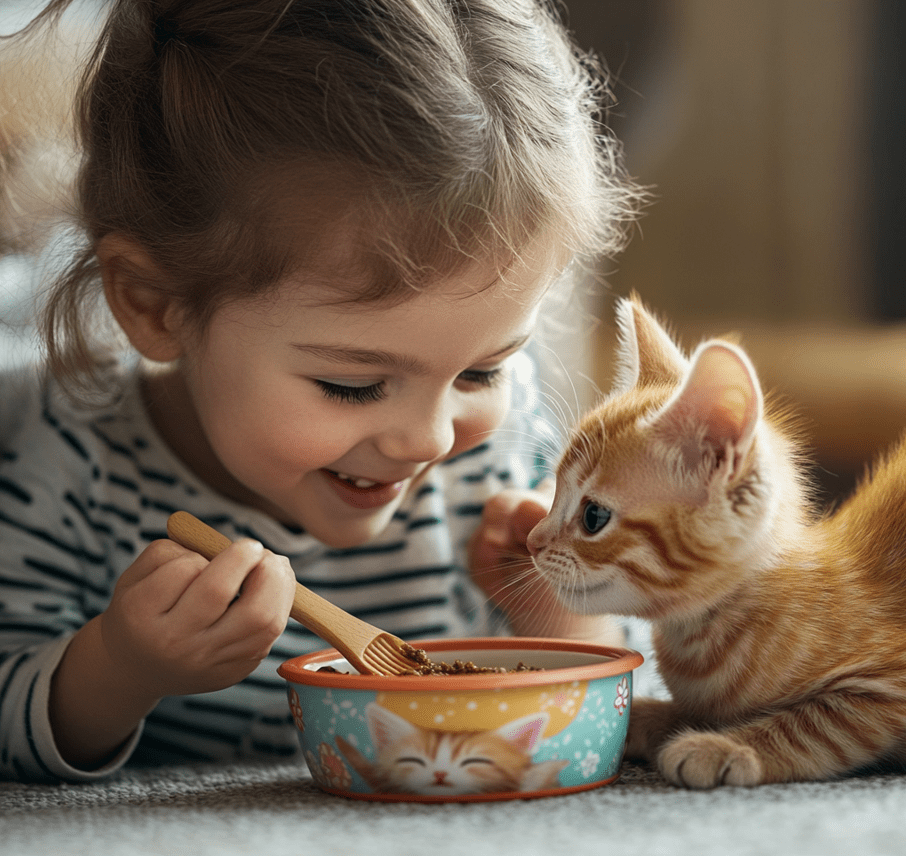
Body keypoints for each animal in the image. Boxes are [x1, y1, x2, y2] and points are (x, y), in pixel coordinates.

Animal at [528, 294, 904, 788]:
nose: (531, 541)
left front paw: (723, 746)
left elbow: (818, 724)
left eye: (593, 517)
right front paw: (642, 719)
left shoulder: (888, 680)